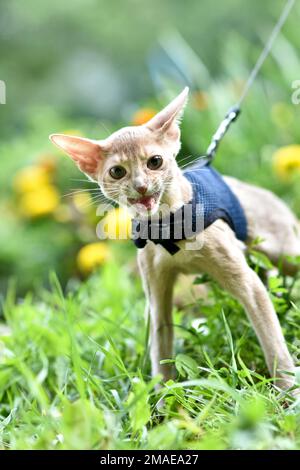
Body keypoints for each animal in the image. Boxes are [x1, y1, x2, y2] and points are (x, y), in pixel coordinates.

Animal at [49, 86, 300, 392]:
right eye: (117, 171)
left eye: (155, 162)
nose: (141, 186)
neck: (169, 228)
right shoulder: (156, 296)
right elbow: (161, 352)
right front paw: (162, 400)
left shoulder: (249, 285)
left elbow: (272, 341)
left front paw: (287, 390)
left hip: (286, 254)